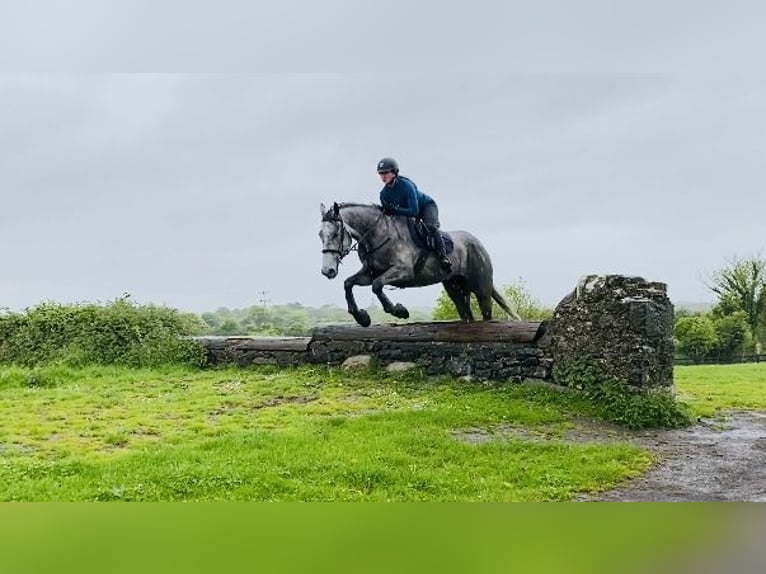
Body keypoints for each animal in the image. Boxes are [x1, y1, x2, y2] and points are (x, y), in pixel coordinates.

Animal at [318, 202, 520, 328]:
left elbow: (377, 286)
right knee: (466, 312)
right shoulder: (369, 272)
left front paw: (399, 311)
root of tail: (478, 243)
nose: (328, 271)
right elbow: (349, 283)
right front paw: (362, 317)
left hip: (481, 288)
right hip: (455, 287)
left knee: (486, 313)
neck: (377, 235)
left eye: (335, 234)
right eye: (320, 235)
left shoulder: (403, 271)